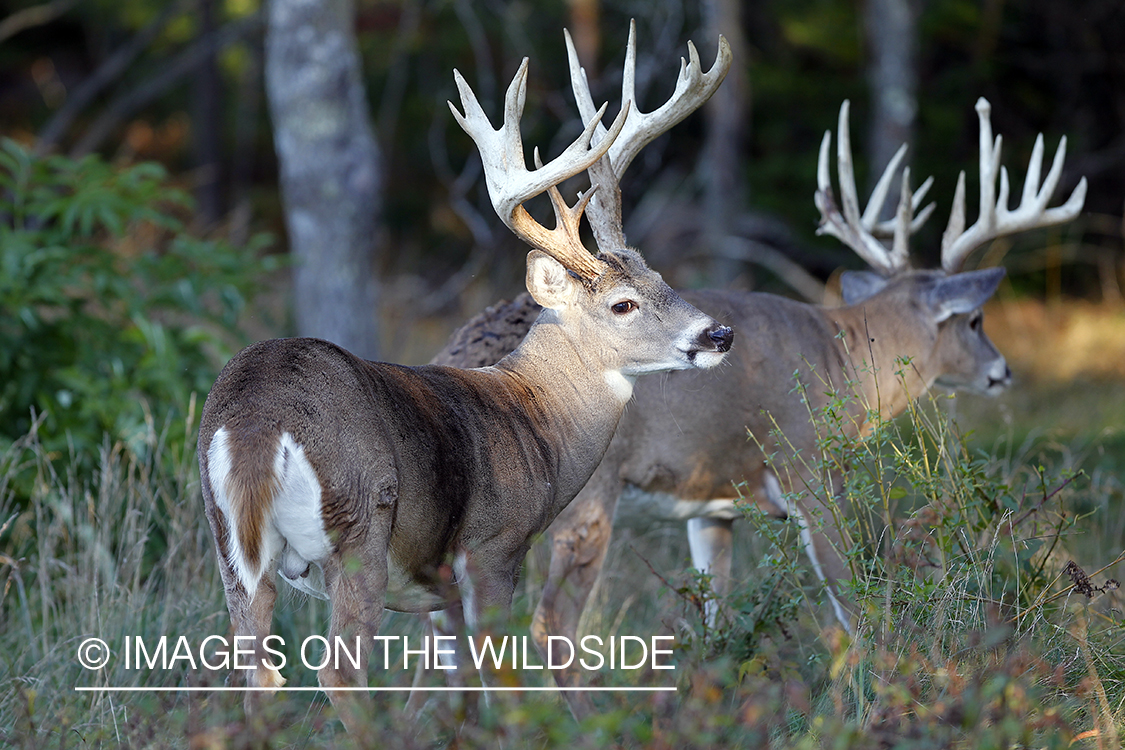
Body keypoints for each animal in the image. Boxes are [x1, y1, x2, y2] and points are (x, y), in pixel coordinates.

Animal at [198, 33, 733, 733]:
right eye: (624, 305)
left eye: (662, 279)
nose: (718, 334)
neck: (538, 422)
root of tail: (260, 421)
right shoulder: (494, 549)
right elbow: (500, 684)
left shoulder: (438, 593)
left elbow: (450, 691)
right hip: (361, 530)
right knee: (338, 673)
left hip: (231, 548)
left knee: (254, 677)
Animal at [429, 96, 1080, 719]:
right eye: (976, 320)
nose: (1002, 371)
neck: (844, 355)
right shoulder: (810, 471)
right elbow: (854, 606)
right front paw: (871, 699)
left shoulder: (711, 503)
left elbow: (716, 617)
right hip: (586, 498)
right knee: (551, 624)